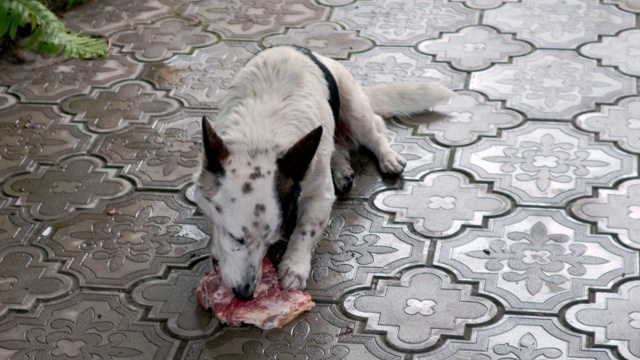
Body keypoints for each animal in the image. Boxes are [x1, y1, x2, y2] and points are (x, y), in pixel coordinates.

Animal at [195, 45, 456, 300]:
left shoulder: (320, 195)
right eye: (236, 238)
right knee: (338, 147)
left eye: (272, 241)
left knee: (375, 133)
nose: (245, 295)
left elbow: (305, 229)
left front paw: (294, 266)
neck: (260, 137)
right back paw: (343, 171)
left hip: (355, 109)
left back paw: (388, 157)